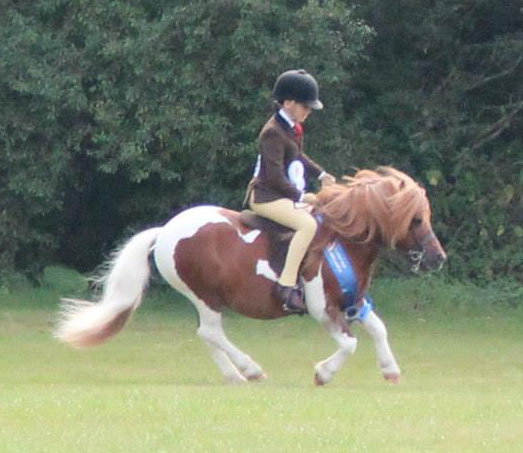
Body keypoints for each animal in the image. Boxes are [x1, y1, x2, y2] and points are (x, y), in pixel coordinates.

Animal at [56, 166, 446, 384]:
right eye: (415, 219)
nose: (437, 258)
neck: (342, 239)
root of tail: (165, 230)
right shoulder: (325, 310)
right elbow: (350, 344)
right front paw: (323, 373)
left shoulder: (355, 301)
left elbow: (379, 329)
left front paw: (390, 370)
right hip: (205, 295)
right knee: (211, 332)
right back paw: (250, 369)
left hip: (204, 299)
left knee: (206, 335)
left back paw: (234, 375)